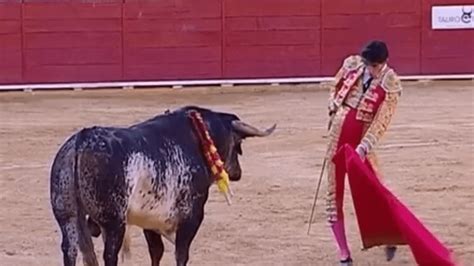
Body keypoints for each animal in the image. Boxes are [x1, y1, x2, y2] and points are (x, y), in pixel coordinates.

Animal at [48, 106, 278, 266]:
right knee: (109, 254)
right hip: (113, 223)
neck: (198, 137)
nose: (238, 173)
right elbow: (181, 254)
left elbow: (156, 252)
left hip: (67, 215)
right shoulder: (191, 217)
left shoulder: (150, 220)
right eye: (238, 145)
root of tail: (81, 140)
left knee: (70, 249)